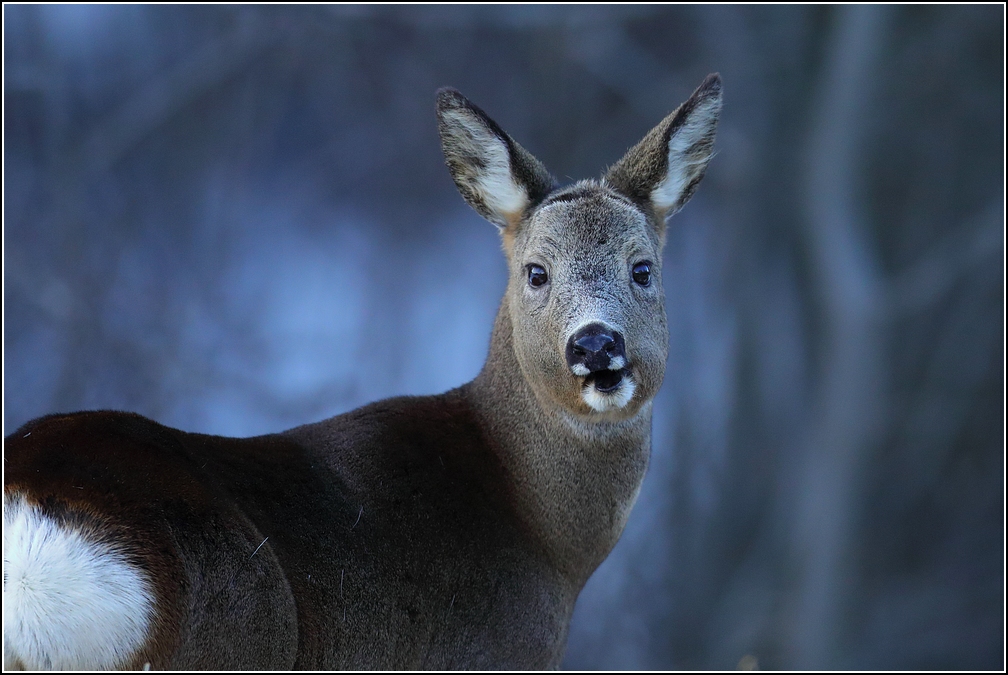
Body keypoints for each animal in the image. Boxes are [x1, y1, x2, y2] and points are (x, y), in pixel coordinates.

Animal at [3, 74, 721, 672]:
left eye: (642, 269)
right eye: (536, 272)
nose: (596, 345)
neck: (539, 526)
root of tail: (30, 532)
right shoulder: (482, 655)